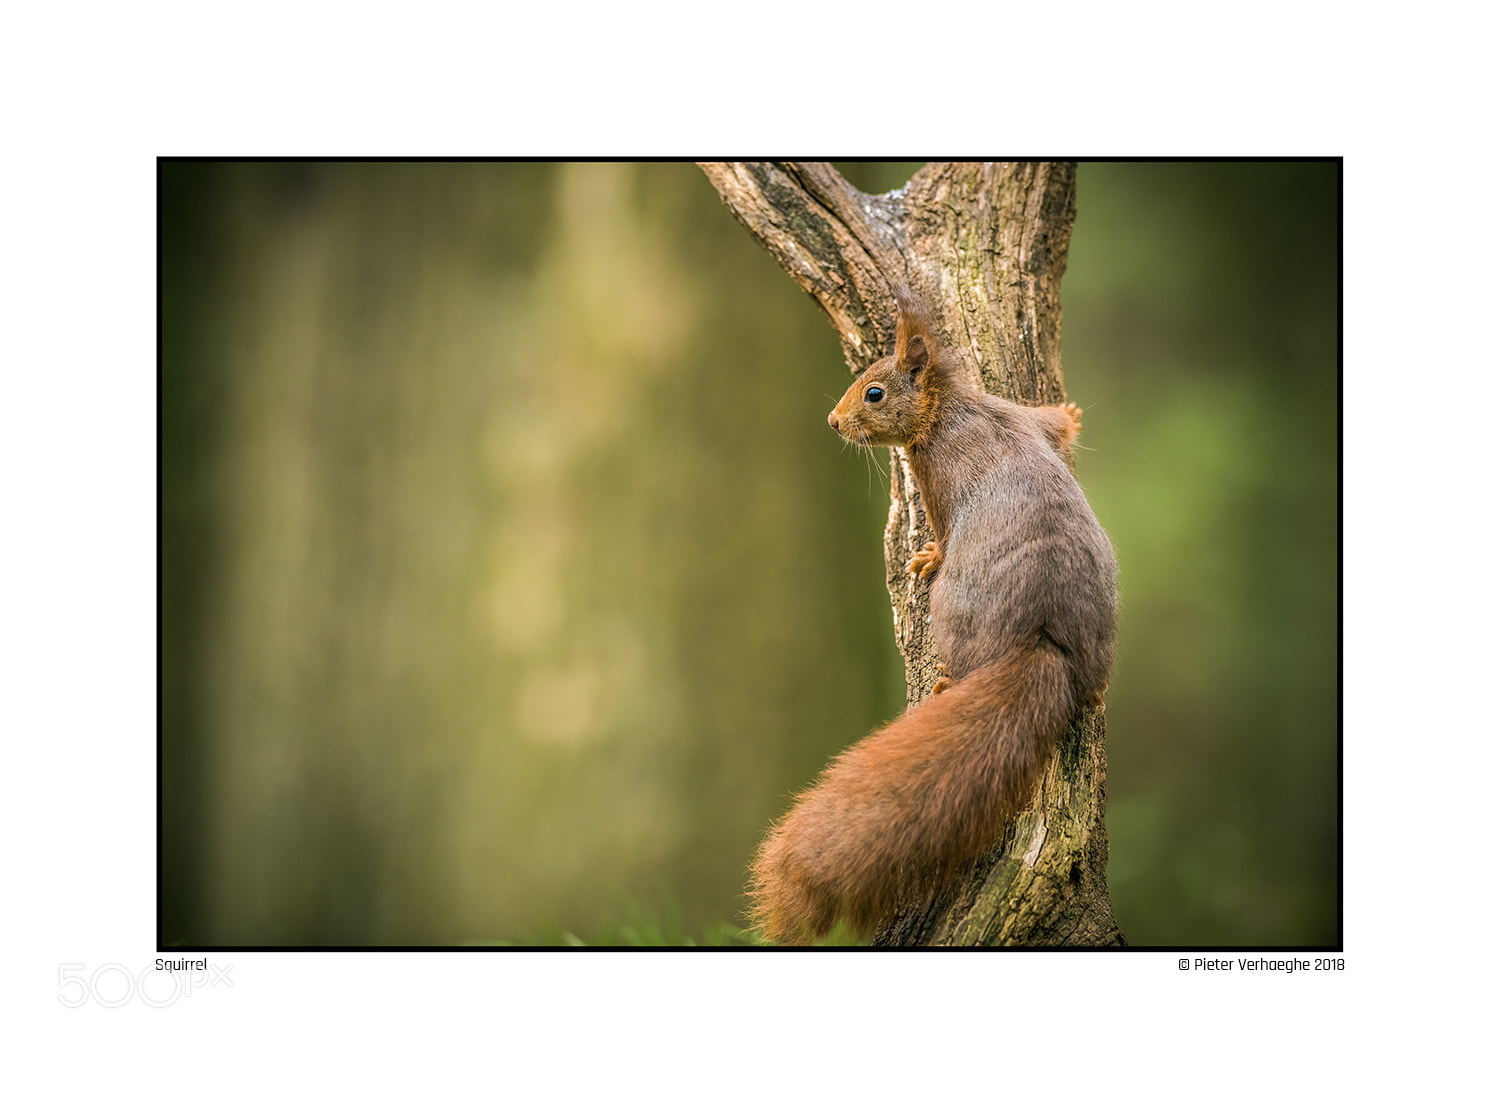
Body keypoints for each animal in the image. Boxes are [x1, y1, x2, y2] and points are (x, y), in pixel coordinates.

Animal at [748, 286, 1118, 944]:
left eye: (874, 392)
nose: (833, 421)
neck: (953, 406)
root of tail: (1048, 644)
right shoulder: (1023, 417)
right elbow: (1054, 425)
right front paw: (1071, 414)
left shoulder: (936, 471)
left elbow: (944, 532)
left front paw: (927, 556)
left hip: (955, 615)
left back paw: (948, 680)